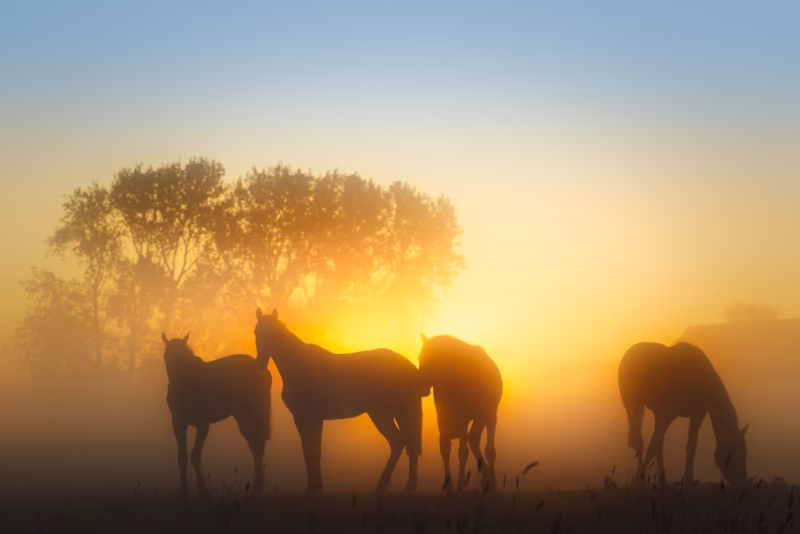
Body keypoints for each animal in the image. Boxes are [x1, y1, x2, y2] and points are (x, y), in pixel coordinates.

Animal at [162, 332, 272, 498]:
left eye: (183, 355)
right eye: (166, 355)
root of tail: (262, 369)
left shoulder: (203, 425)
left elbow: (195, 456)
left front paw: (203, 490)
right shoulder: (178, 424)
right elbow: (182, 458)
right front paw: (183, 491)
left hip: (251, 415)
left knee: (257, 445)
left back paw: (256, 489)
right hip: (242, 416)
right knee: (256, 445)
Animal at [253, 308, 429, 495]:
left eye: (273, 332)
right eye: (256, 332)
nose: (260, 363)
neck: (299, 366)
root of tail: (411, 368)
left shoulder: (308, 418)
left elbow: (312, 451)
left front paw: (313, 489)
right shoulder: (308, 419)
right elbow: (311, 451)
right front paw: (315, 487)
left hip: (393, 413)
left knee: (405, 442)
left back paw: (395, 484)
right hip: (389, 414)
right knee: (403, 442)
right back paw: (394, 484)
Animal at [418, 334, 503, 492]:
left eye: (431, 359)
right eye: (420, 358)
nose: (420, 387)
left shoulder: (478, 418)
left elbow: (469, 452)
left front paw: (460, 484)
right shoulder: (444, 419)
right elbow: (445, 448)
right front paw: (449, 484)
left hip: (484, 418)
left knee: (475, 441)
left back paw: (488, 479)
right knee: (472, 439)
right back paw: (485, 478)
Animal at [618, 341, 749, 487]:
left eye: (744, 453)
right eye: (731, 453)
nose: (742, 482)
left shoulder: (697, 415)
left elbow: (691, 446)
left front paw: (689, 479)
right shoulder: (666, 415)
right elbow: (652, 446)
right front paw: (638, 478)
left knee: (656, 442)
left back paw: (662, 478)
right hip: (634, 407)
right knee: (639, 441)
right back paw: (643, 479)